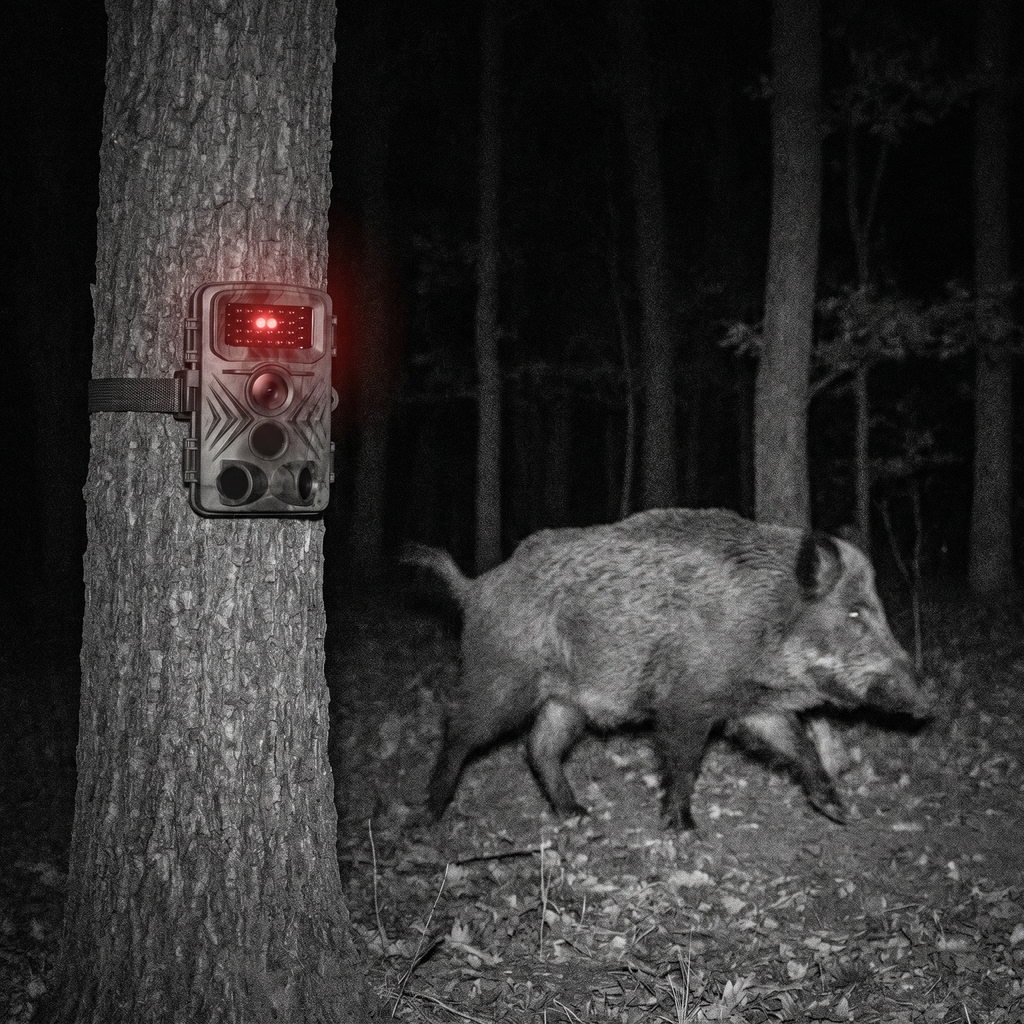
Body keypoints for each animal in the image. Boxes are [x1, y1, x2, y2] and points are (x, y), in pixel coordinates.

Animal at [404, 507, 936, 830]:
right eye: (855, 614)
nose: (927, 700)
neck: (768, 618)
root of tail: (474, 588)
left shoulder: (751, 707)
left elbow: (799, 745)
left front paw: (838, 812)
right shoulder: (686, 700)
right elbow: (684, 761)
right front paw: (684, 829)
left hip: (567, 698)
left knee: (539, 747)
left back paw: (579, 814)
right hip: (503, 675)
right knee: (460, 727)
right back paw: (428, 816)